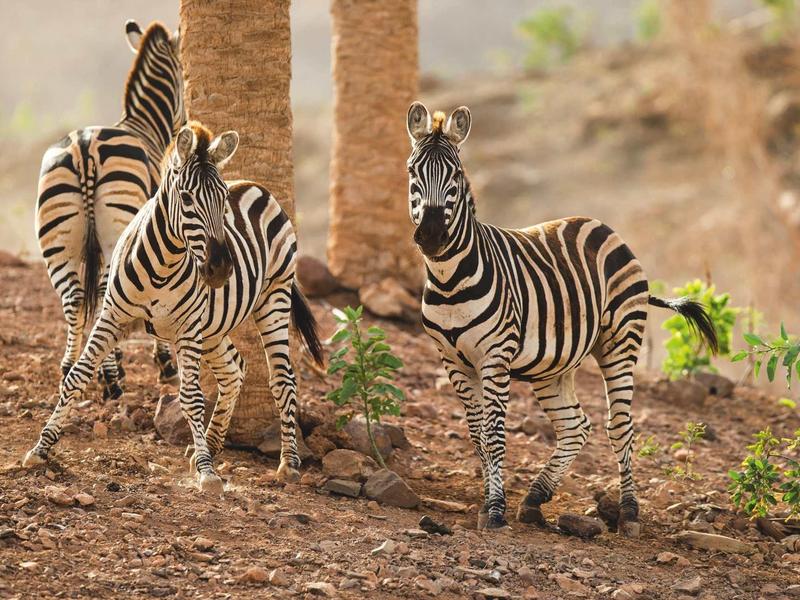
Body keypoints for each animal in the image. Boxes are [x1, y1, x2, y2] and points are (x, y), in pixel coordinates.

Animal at [23, 121, 324, 493]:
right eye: (186, 198)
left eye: (223, 199)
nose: (220, 269)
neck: (162, 265)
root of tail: (255, 185)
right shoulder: (113, 317)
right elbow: (77, 376)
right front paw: (41, 448)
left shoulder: (187, 330)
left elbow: (191, 398)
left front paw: (208, 472)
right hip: (213, 325)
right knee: (234, 369)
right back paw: (209, 445)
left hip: (274, 296)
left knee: (283, 380)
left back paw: (288, 463)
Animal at [35, 20, 184, 400]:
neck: (143, 125)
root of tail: (83, 146)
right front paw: (162, 363)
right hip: (115, 227)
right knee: (102, 297)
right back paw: (112, 381)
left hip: (56, 240)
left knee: (73, 299)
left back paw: (70, 369)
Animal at [406, 102, 718, 534]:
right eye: (412, 172)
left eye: (456, 176)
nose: (433, 237)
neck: (449, 279)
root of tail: (602, 225)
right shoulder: (453, 361)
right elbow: (477, 436)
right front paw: (488, 504)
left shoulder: (495, 357)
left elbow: (494, 434)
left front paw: (496, 511)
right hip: (553, 364)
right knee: (575, 425)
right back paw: (535, 498)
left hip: (620, 341)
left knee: (620, 426)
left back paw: (628, 512)